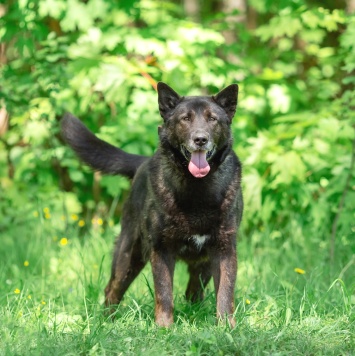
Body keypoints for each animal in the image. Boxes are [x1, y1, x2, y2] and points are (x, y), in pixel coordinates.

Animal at [62, 82, 245, 326]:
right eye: (185, 119)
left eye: (212, 119)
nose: (200, 139)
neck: (197, 189)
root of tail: (143, 162)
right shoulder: (161, 249)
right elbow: (164, 294)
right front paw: (164, 328)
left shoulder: (224, 251)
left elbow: (225, 294)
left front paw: (226, 327)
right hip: (129, 256)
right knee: (112, 289)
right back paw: (106, 323)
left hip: (203, 265)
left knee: (193, 291)